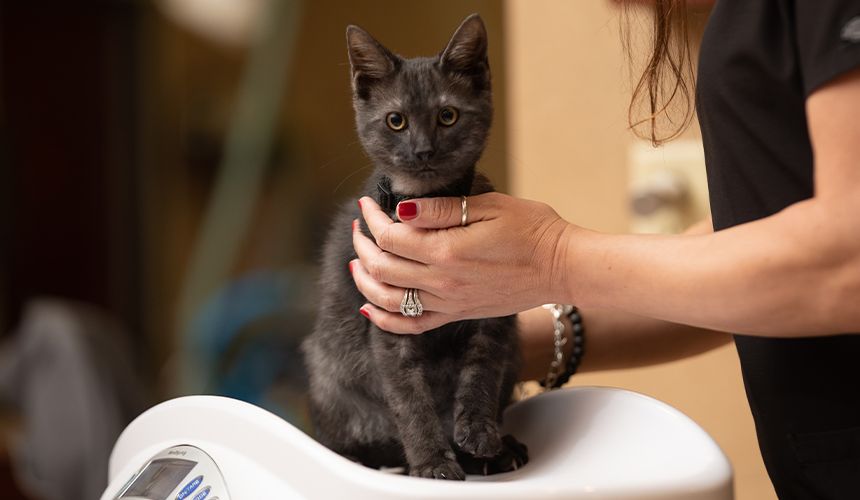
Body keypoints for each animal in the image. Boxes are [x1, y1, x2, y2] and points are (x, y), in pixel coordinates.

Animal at [302, 13, 532, 478]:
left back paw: (500, 451)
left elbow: (481, 371)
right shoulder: (389, 327)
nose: (423, 150)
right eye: (396, 121)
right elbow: (409, 400)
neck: (429, 205)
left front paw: (480, 433)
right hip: (326, 369)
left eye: (447, 115)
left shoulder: (494, 316)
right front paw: (431, 462)